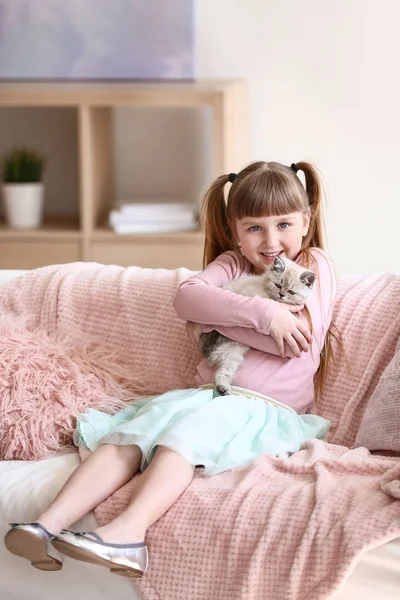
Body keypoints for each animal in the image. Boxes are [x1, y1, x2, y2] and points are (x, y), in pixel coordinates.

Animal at [200, 255, 316, 396]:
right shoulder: (247, 295)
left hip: (234, 353)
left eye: (291, 292)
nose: (281, 295)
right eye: (278, 285)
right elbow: (262, 304)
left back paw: (224, 390)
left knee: (222, 371)